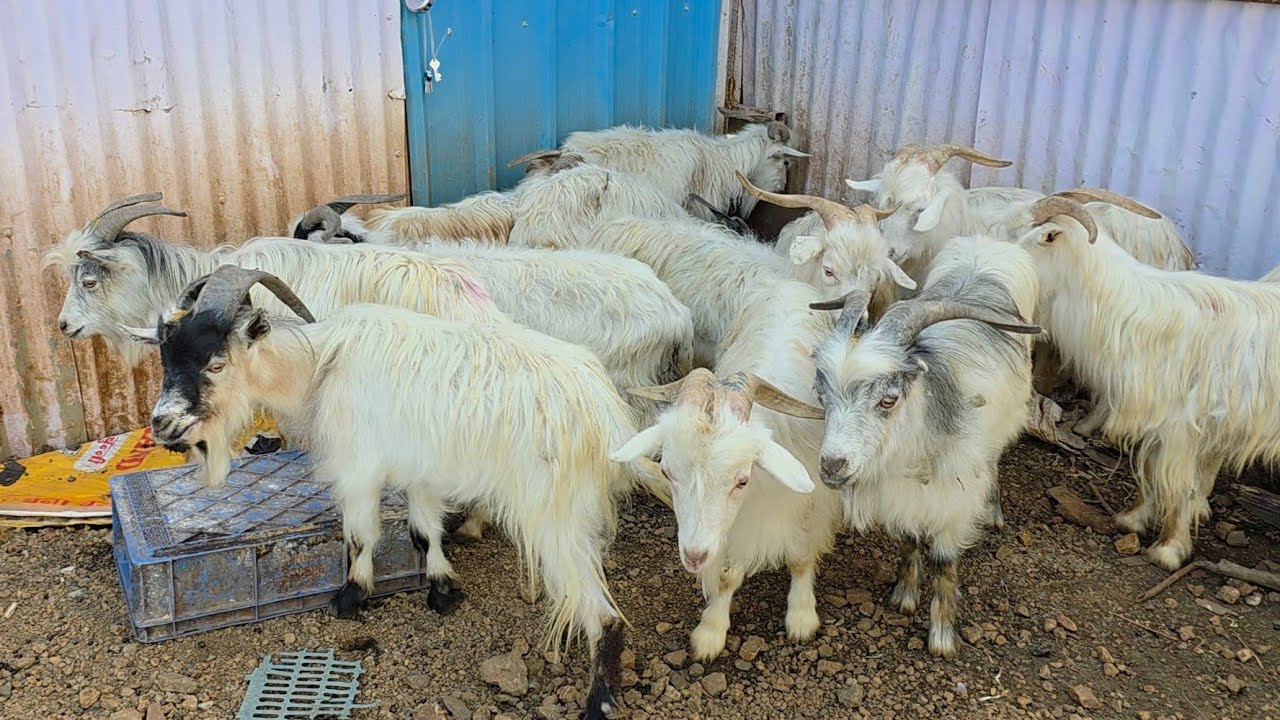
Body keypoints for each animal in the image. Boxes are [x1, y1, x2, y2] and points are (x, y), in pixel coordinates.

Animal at [127, 266, 652, 719]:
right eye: (165, 358)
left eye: (216, 363)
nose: (163, 425)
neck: (320, 364)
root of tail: (602, 411)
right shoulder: (421, 471)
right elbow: (424, 531)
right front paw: (442, 589)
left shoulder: (359, 467)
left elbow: (362, 535)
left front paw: (350, 597)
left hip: (553, 514)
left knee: (603, 614)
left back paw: (599, 703)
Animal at [611, 279, 842, 662]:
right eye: (668, 473)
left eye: (741, 480)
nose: (694, 556)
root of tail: (790, 283)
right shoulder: (729, 529)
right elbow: (726, 576)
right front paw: (711, 630)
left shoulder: (814, 504)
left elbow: (801, 556)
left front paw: (801, 614)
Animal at [811, 236, 1041, 656]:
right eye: (822, 394)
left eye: (888, 400)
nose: (833, 465)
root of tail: (990, 245)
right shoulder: (903, 496)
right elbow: (908, 541)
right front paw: (903, 597)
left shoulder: (953, 501)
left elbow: (944, 564)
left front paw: (942, 637)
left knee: (994, 461)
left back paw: (994, 510)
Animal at [1016, 195, 1280, 571]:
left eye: (1031, 242)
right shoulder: (1164, 428)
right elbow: (1154, 476)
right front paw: (1134, 518)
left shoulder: (1181, 427)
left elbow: (1176, 483)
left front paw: (1169, 549)